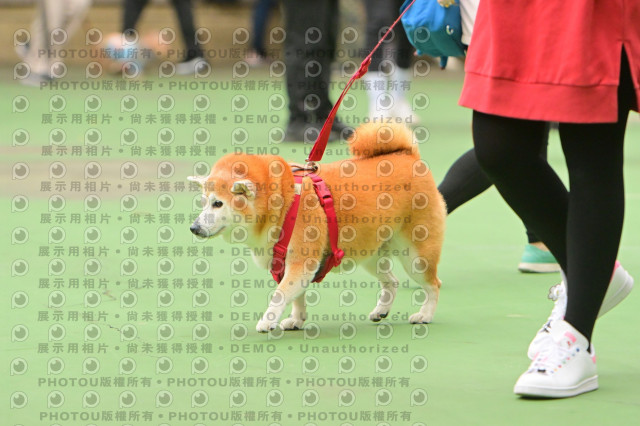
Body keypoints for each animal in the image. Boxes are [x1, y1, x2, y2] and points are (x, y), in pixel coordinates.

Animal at [189, 122, 446, 332]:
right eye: (203, 202)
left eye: (218, 203)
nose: (194, 228)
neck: (284, 204)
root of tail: (408, 155)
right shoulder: (289, 266)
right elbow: (296, 297)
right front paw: (297, 319)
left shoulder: (301, 262)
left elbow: (280, 295)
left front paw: (267, 320)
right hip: (370, 254)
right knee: (392, 281)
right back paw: (381, 310)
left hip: (416, 256)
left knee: (434, 284)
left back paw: (425, 314)